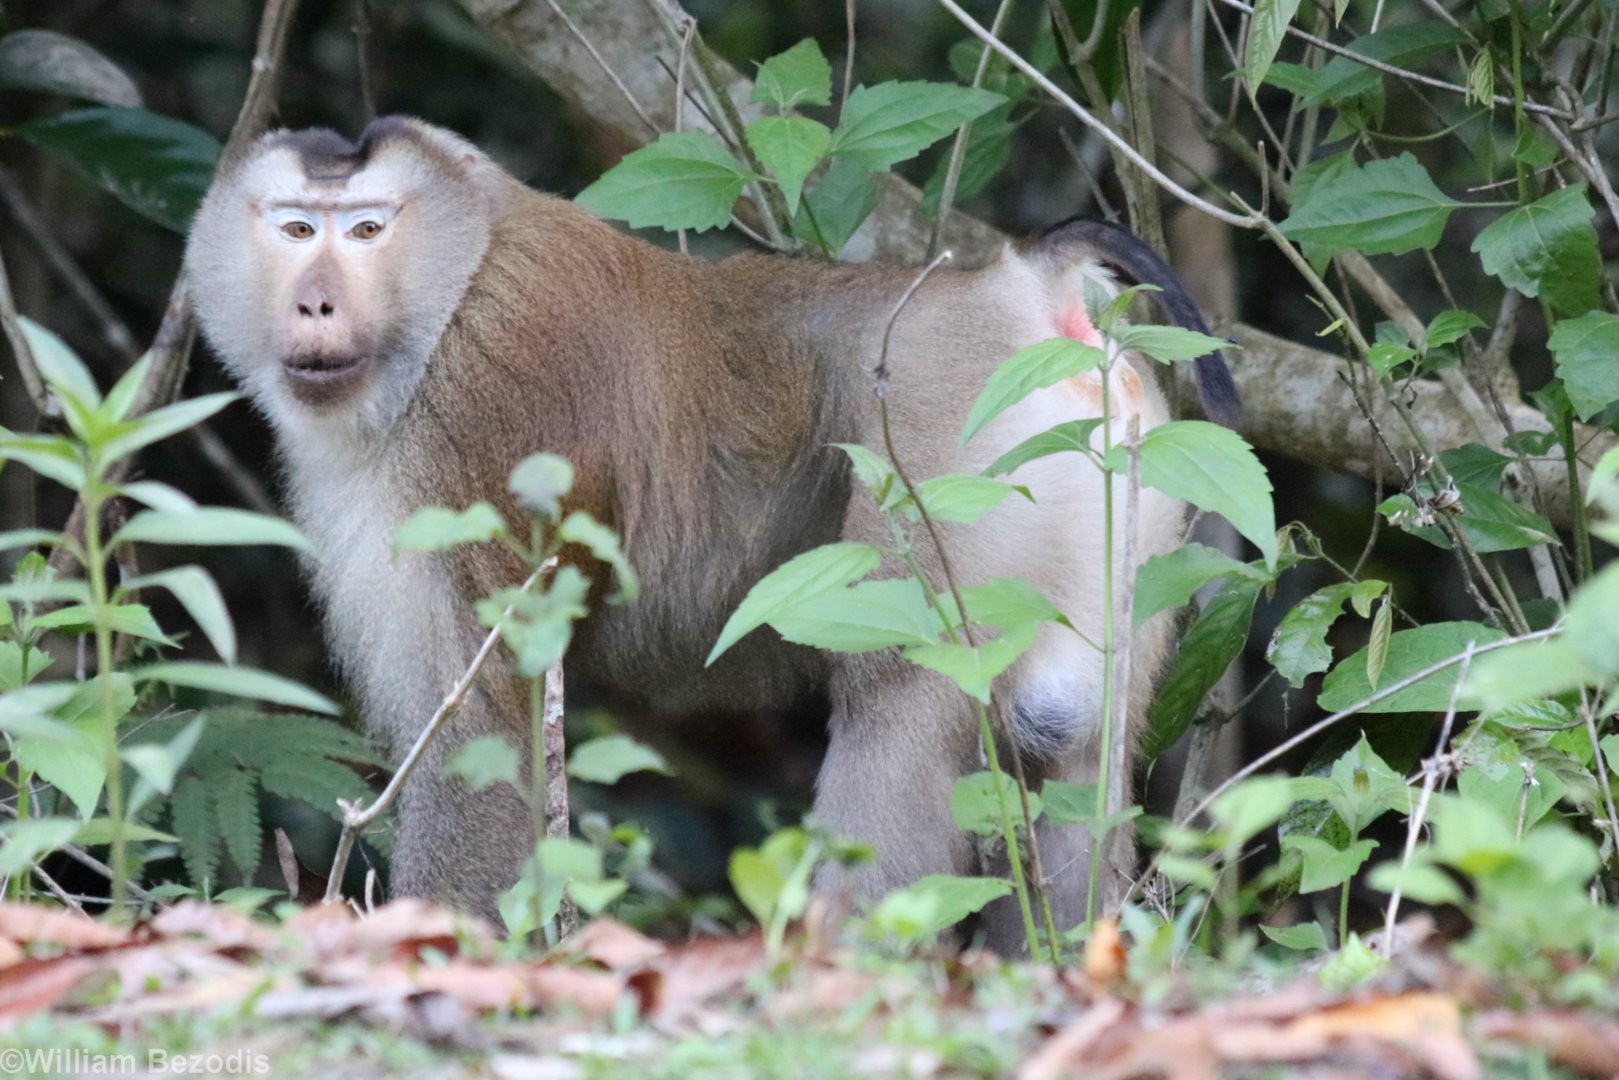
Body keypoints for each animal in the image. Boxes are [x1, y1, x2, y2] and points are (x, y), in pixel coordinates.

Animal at [184, 116, 1238, 950]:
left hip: (958, 459)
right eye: (295, 229)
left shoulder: (475, 420)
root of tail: (1018, 288)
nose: (316, 300)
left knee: (899, 699)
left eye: (367, 230)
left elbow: (480, 728)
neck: (456, 281)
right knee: (1076, 753)